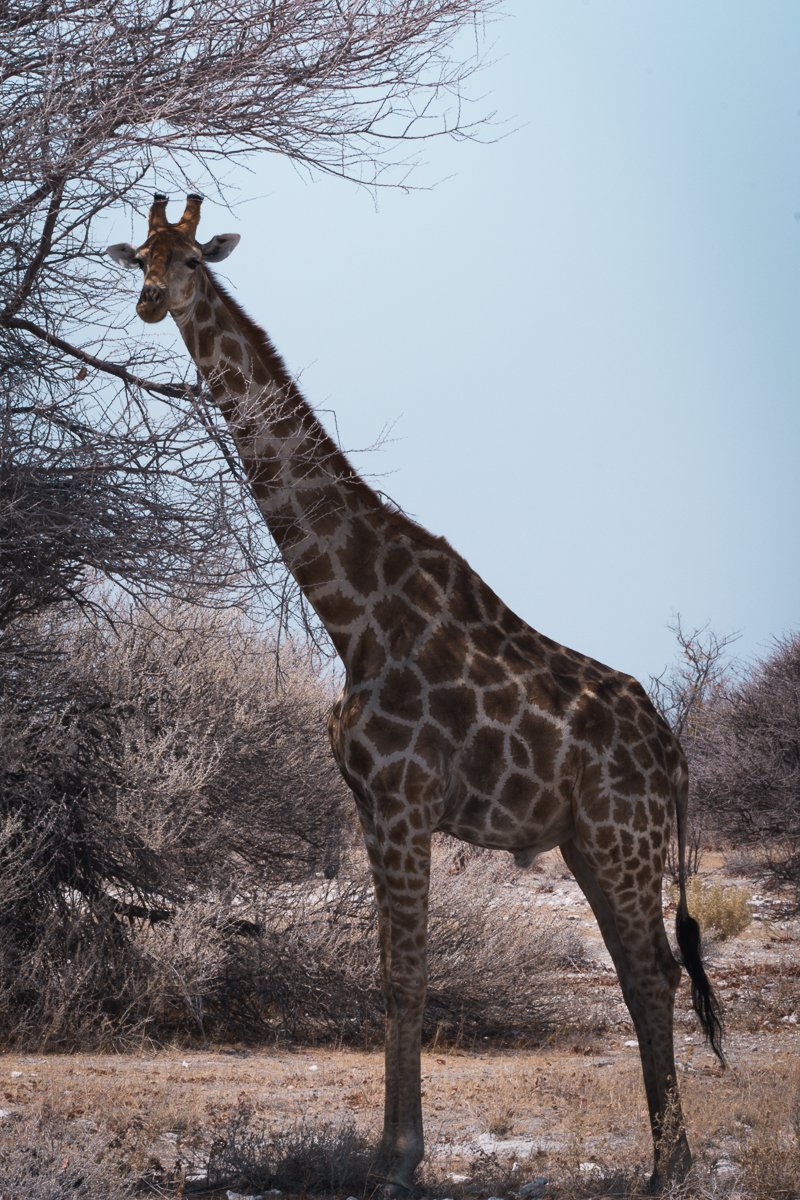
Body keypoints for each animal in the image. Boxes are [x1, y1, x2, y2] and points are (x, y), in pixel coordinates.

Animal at [108, 194, 723, 1194]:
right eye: (144, 256)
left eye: (195, 257)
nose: (152, 301)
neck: (352, 614)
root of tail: (672, 752)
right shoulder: (367, 802)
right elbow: (389, 971)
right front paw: (388, 1149)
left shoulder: (403, 800)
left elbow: (408, 975)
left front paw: (398, 1159)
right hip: (590, 844)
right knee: (649, 974)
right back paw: (667, 1158)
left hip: (622, 840)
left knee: (653, 971)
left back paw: (672, 1165)